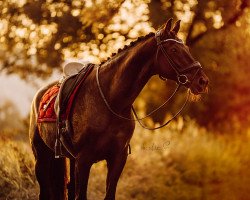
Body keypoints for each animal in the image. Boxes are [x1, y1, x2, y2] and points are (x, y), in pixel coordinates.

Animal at [29, 18, 209, 199]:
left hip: (71, 160)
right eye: (174, 49)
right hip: (42, 158)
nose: (202, 81)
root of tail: (40, 95)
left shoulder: (117, 158)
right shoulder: (84, 160)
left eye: (186, 49)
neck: (110, 100)